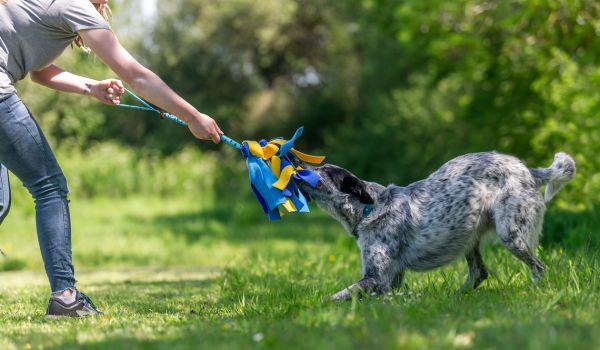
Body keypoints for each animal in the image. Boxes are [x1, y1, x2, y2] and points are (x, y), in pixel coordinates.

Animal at [302, 152, 576, 300]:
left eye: (324, 169)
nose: (299, 162)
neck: (373, 207)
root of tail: (528, 171)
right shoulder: (390, 280)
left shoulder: (376, 278)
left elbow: (341, 294)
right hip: (468, 236)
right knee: (479, 273)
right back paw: (454, 296)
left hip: (510, 234)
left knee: (539, 267)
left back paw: (534, 289)